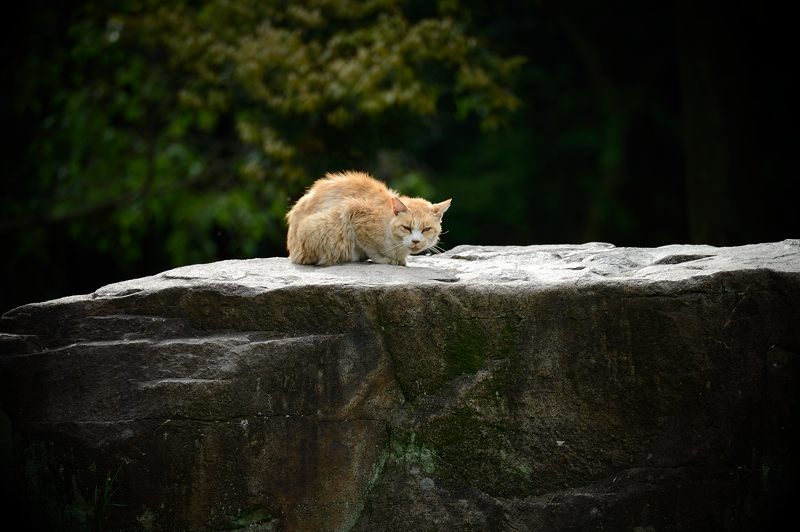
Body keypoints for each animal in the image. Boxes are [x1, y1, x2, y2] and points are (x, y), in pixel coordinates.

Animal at [286, 170, 450, 266]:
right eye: (406, 228)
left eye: (426, 229)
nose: (416, 241)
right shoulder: (352, 211)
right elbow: (371, 248)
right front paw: (385, 259)